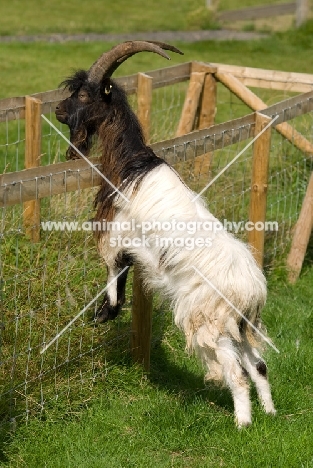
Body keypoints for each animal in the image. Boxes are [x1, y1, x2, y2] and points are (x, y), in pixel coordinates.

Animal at [56, 42, 276, 430]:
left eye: (82, 94)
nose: (56, 110)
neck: (131, 164)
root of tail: (252, 291)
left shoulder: (117, 230)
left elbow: (114, 267)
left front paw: (105, 311)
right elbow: (125, 267)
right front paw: (108, 310)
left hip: (210, 320)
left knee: (236, 372)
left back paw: (243, 423)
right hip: (240, 324)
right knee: (259, 365)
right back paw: (269, 412)